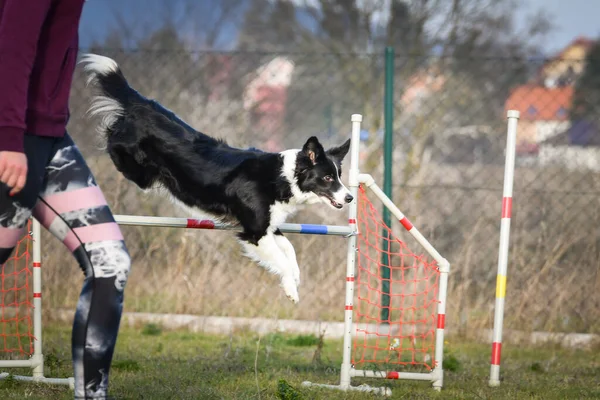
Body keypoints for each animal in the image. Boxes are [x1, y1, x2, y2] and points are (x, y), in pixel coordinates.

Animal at [79, 54, 352, 304]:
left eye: (339, 176)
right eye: (328, 177)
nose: (350, 197)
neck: (282, 177)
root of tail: (141, 104)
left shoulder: (269, 225)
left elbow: (290, 251)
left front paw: (294, 278)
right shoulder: (255, 232)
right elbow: (281, 259)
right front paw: (291, 290)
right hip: (138, 170)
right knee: (112, 141)